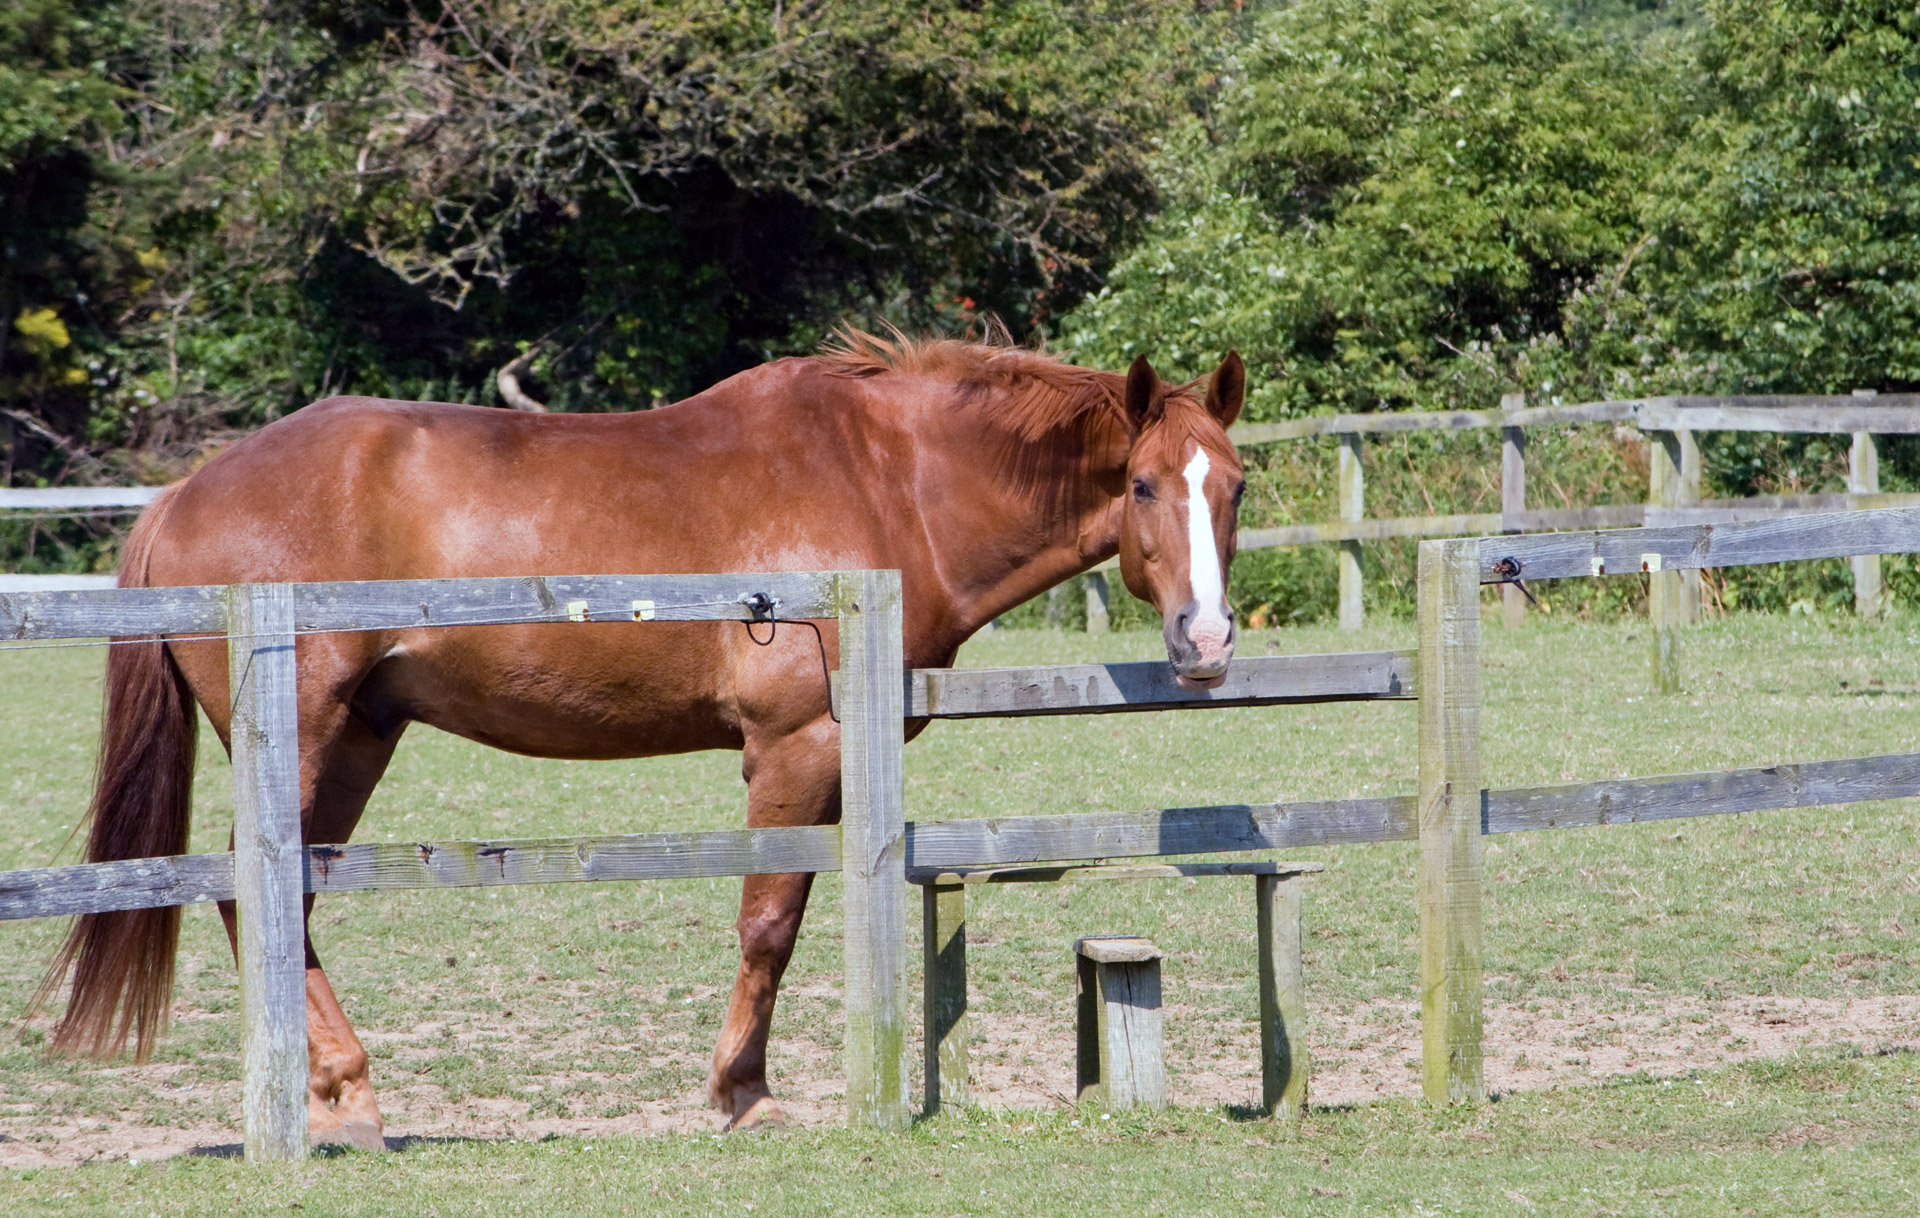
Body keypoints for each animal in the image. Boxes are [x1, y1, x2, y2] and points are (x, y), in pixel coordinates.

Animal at [48, 326, 1244, 1144]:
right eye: (1142, 485)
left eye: (1232, 486)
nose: (1207, 637)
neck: (883, 477)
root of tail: (182, 495)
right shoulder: (797, 746)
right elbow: (769, 923)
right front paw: (743, 1095)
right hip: (309, 740)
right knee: (252, 892)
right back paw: (342, 1094)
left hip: (357, 741)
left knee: (281, 899)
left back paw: (335, 1094)